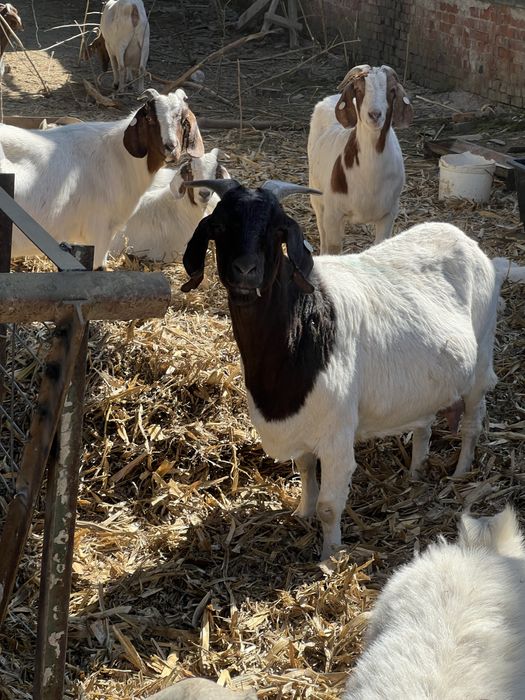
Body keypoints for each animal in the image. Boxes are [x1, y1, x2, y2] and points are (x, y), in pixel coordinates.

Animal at [180, 178, 521, 559]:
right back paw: (417, 470)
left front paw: (329, 557)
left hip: (481, 359)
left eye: (276, 229)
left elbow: (330, 506)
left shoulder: (336, 434)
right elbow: (305, 473)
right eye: (220, 226)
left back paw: (461, 472)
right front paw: (302, 513)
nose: (245, 271)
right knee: (424, 425)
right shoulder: (303, 427)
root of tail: (465, 239)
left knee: (472, 423)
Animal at [308, 64, 413, 254]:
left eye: (392, 90)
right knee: (322, 230)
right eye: (358, 89)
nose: (375, 114)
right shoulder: (333, 213)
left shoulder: (389, 213)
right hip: (316, 194)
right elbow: (333, 246)